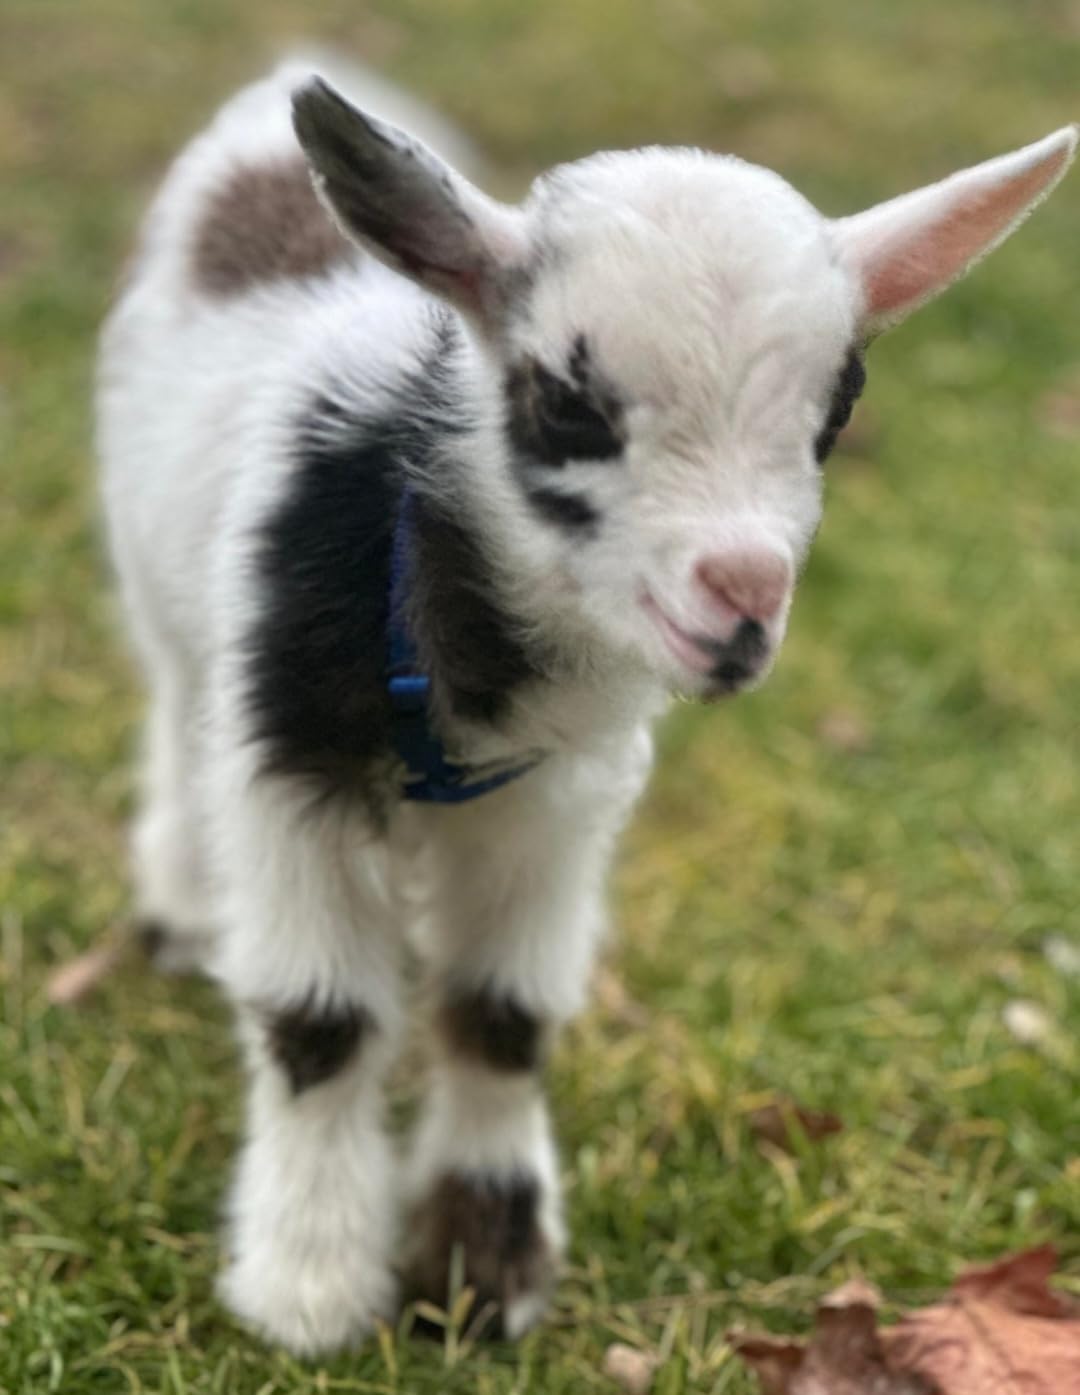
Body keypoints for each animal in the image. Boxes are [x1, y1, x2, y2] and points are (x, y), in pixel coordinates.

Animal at [97, 56, 1076, 1353]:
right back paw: (183, 910)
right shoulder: (294, 760)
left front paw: (485, 1268)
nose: (740, 602)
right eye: (567, 404)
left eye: (837, 413)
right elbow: (323, 1024)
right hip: (162, 597)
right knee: (172, 709)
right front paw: (307, 1292)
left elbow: (500, 1013)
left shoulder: (558, 795)